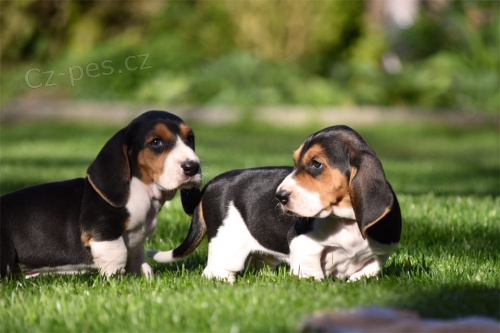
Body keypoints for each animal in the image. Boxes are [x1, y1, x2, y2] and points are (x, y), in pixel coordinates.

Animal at [2, 110, 201, 278]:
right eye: (156, 142)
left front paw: (146, 279)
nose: (192, 167)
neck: (141, 190)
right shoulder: (104, 232)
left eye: (190, 138)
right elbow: (119, 256)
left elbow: (140, 262)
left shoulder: (137, 244)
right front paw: (116, 282)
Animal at [149, 126, 402, 282]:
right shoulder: (304, 245)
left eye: (316, 164)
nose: (279, 196)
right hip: (227, 246)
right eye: (295, 162)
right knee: (216, 271)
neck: (345, 220)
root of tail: (211, 185)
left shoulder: (380, 253)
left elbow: (368, 271)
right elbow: (312, 272)